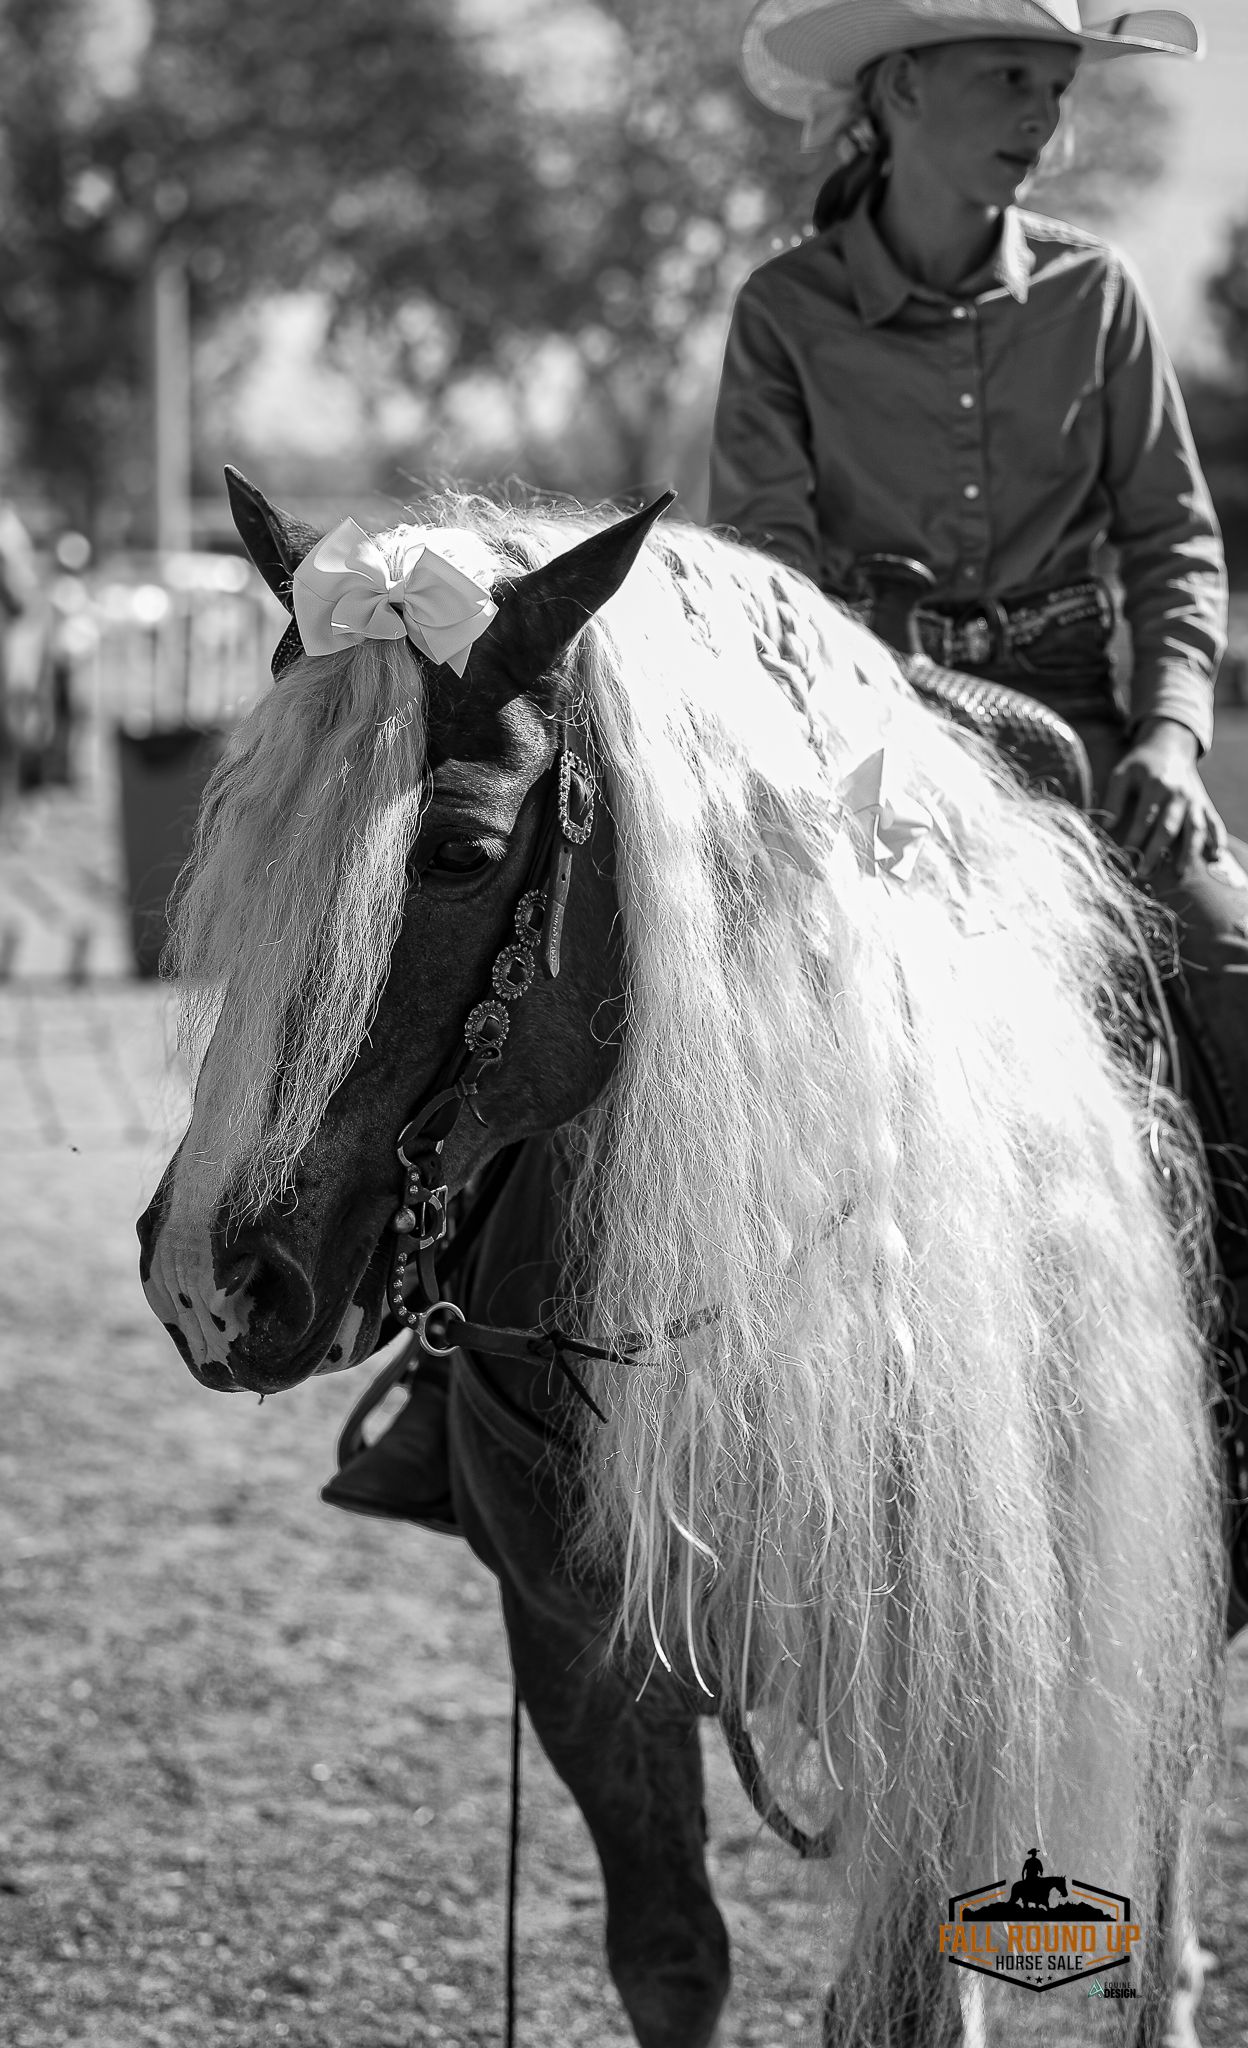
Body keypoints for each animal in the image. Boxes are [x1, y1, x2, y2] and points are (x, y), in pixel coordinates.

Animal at [138, 472, 1224, 2048]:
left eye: (459, 851)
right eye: (246, 830)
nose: (208, 1279)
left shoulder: (944, 1699)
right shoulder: (584, 1661)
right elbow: (669, 1958)